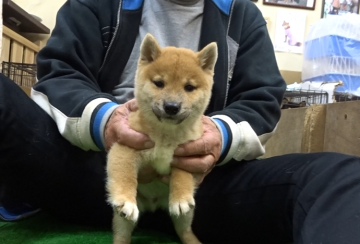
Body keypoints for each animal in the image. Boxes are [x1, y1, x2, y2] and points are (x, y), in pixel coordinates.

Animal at [105, 33, 218, 244]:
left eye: (189, 87)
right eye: (159, 83)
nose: (171, 107)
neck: (165, 135)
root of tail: (153, 204)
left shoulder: (189, 153)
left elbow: (182, 174)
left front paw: (180, 197)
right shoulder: (126, 146)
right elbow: (126, 175)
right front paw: (125, 199)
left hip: (186, 216)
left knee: (184, 230)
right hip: (123, 221)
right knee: (121, 234)